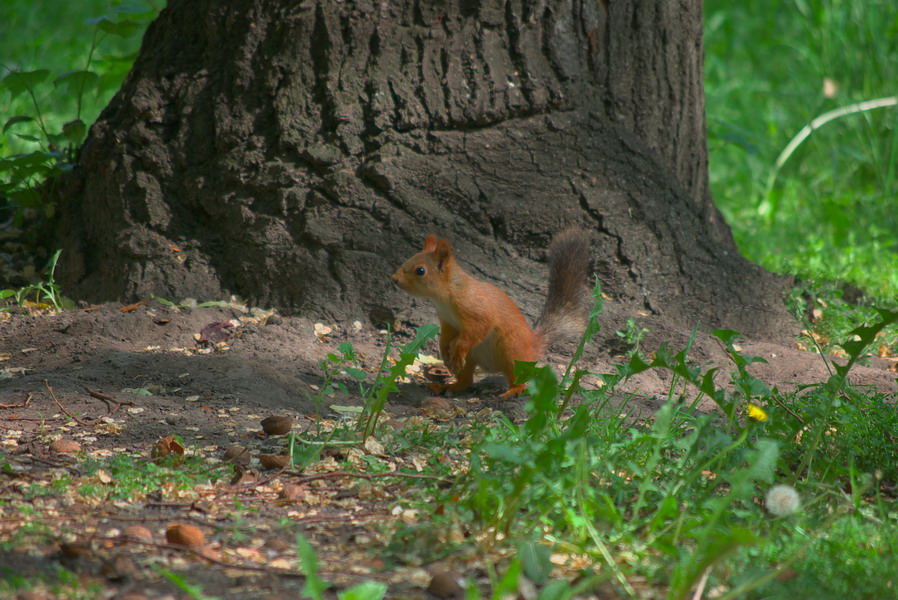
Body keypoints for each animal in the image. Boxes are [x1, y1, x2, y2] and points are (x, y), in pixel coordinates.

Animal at [390, 232, 588, 396]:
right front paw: (443, 350)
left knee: (518, 377)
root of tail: (533, 346)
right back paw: (446, 386)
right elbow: (446, 336)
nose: (394, 279)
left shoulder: (477, 312)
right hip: (474, 358)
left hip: (512, 351)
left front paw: (458, 347)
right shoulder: (447, 321)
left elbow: (475, 331)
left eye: (420, 271)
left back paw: (514, 390)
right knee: (467, 381)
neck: (445, 296)